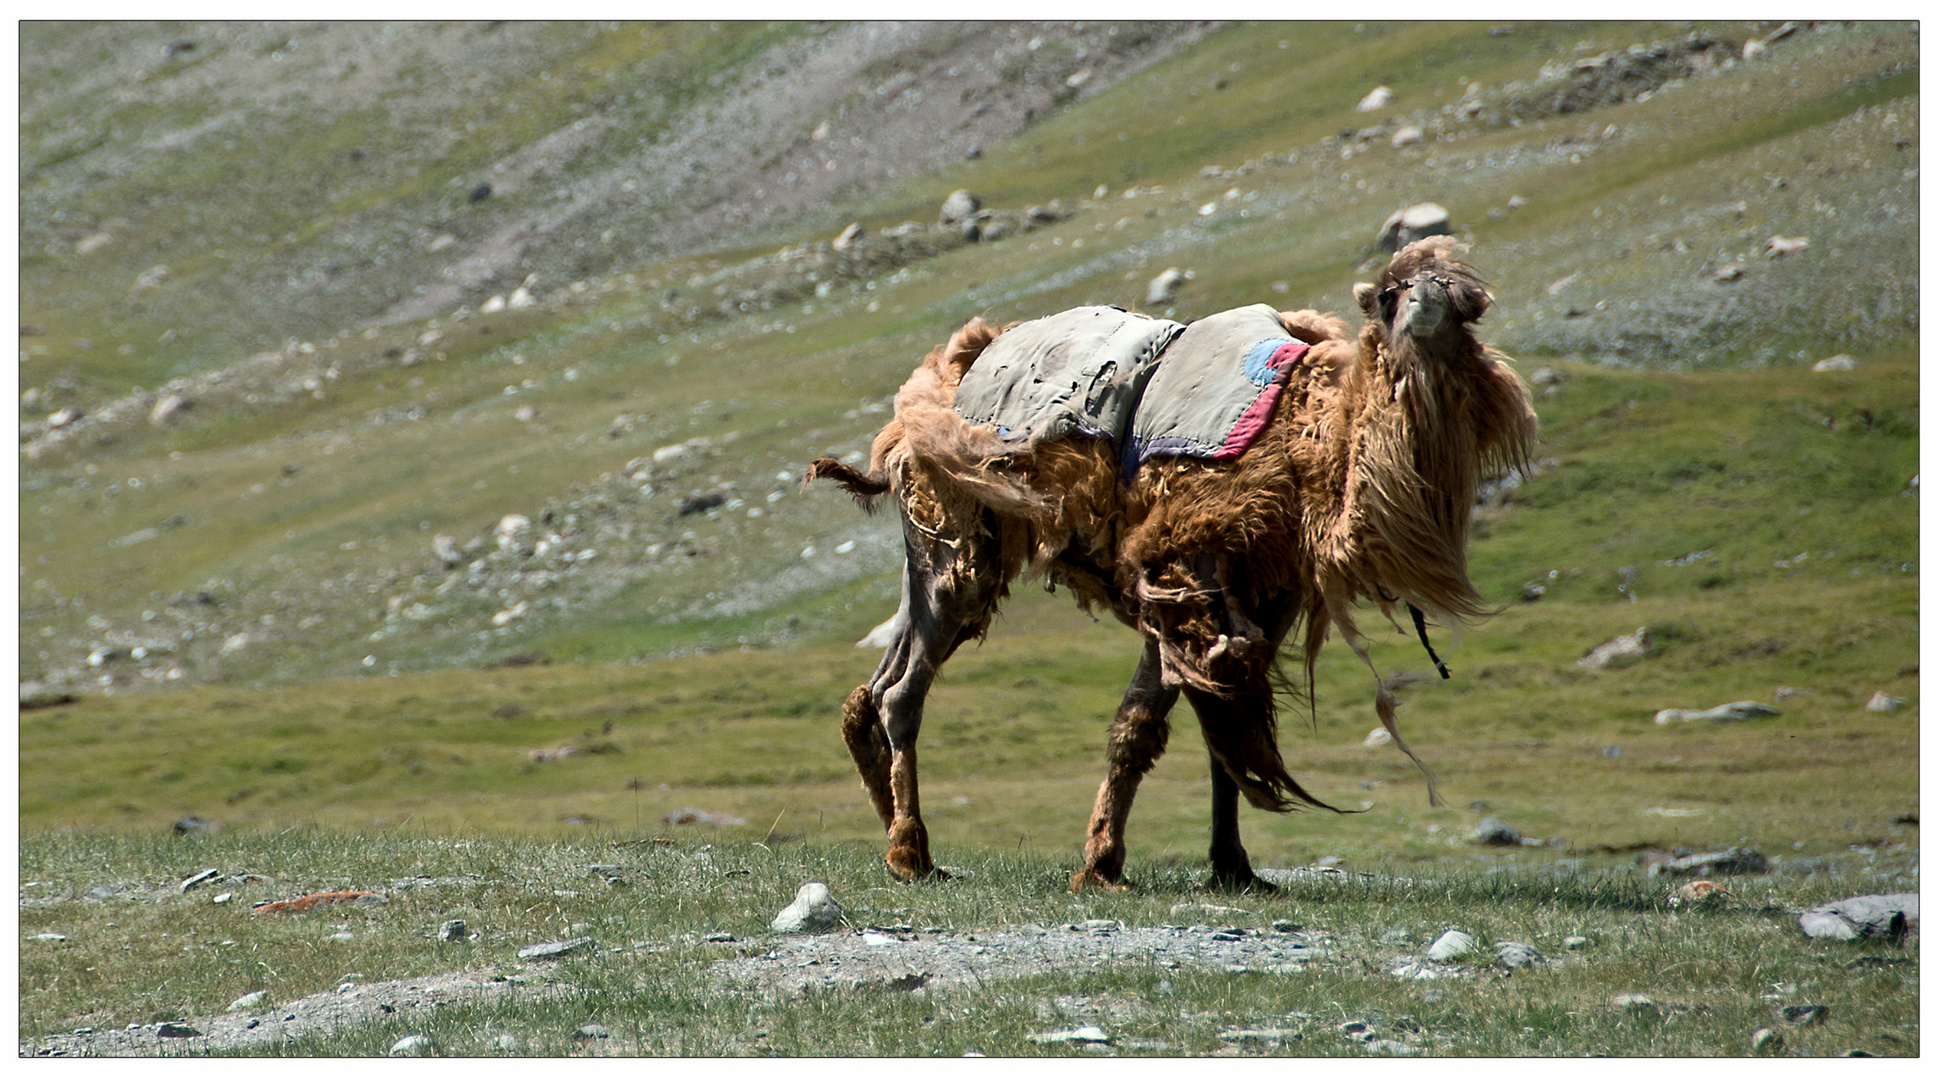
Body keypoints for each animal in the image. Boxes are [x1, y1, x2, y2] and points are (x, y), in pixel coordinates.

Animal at [804, 240, 1531, 889]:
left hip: (926, 551)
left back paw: (892, 835)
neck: (1304, 453)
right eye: (1391, 294)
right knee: (901, 693)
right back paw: (913, 853)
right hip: (958, 546)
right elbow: (1144, 724)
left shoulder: (1268, 595)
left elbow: (1230, 726)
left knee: (873, 685)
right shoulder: (1178, 572)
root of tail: (919, 406)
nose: (1438, 310)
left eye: (1466, 296)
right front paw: (1102, 865)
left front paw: (1234, 868)